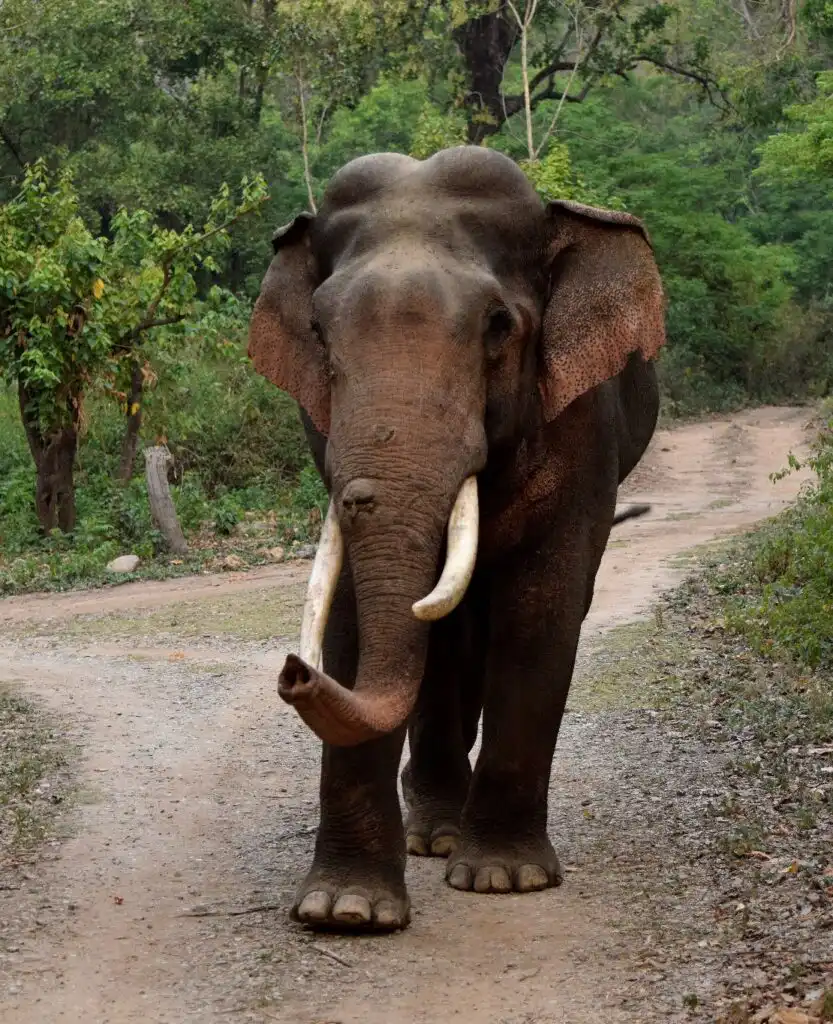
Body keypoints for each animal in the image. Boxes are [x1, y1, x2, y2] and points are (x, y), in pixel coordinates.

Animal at [248, 145, 665, 932]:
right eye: (317, 332)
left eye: (498, 325)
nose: (293, 672)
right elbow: (356, 618)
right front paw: (344, 911)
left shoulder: (579, 429)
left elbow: (541, 611)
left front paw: (503, 879)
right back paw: (433, 834)